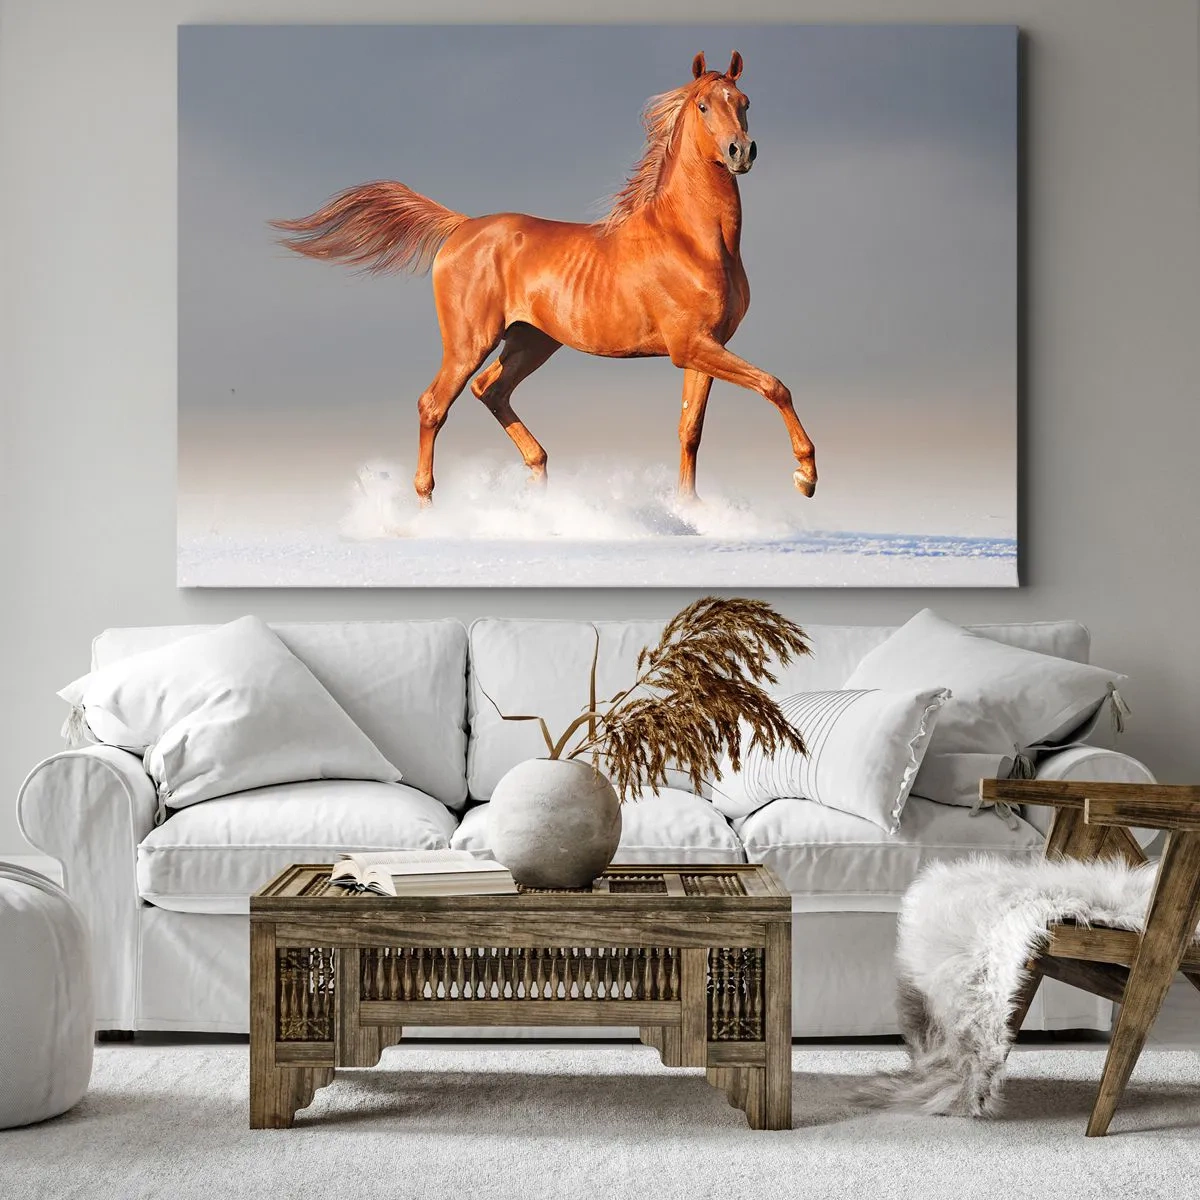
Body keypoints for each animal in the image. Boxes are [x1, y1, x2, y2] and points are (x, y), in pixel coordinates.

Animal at [271, 51, 817, 507]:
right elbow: (775, 386)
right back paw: (429, 507)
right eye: (704, 105)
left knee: (491, 390)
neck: (692, 239)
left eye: (744, 103)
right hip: (471, 340)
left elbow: (690, 430)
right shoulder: (690, 345)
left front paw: (690, 509)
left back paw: (539, 484)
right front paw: (805, 476)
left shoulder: (706, 346)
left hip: (531, 341)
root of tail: (461, 227)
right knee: (434, 404)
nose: (741, 151)